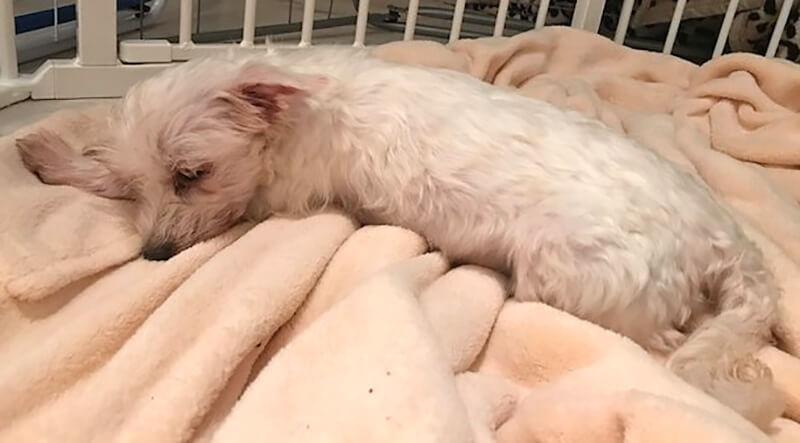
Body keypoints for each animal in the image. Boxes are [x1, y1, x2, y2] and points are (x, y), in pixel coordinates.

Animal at [16, 45, 782, 427]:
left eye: (191, 174)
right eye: (149, 183)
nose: (154, 254)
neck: (292, 111)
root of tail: (722, 235)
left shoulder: (277, 196)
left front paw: (53, 158)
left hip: (574, 278)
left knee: (658, 340)